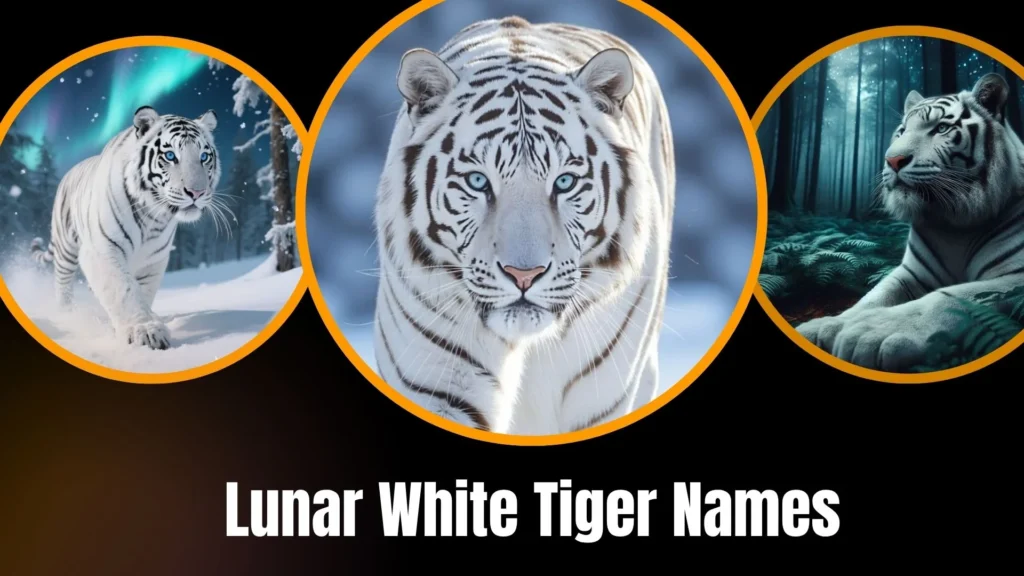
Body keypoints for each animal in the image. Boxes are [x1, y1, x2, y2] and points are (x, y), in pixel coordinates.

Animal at [30, 105, 222, 350]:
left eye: (204, 157)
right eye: (170, 156)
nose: (196, 192)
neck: (154, 218)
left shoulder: (153, 260)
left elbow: (141, 293)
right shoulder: (102, 250)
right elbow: (124, 290)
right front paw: (146, 332)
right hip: (66, 249)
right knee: (62, 285)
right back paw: (67, 315)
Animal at [797, 73, 1024, 371]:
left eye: (941, 128)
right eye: (902, 131)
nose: (892, 160)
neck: (955, 225)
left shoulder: (1013, 278)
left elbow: (949, 298)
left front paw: (869, 333)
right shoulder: (911, 273)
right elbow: (872, 297)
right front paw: (825, 326)